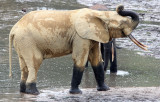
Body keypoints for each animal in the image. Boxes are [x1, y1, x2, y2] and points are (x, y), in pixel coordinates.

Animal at [8, 5, 147, 95]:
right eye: (122, 24)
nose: (120, 7)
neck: (99, 14)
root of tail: (13, 30)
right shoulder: (80, 37)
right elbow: (80, 59)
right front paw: (76, 92)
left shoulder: (91, 36)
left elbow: (96, 59)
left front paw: (105, 89)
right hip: (27, 41)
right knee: (34, 64)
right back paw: (34, 93)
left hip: (22, 43)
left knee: (24, 67)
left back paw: (23, 91)